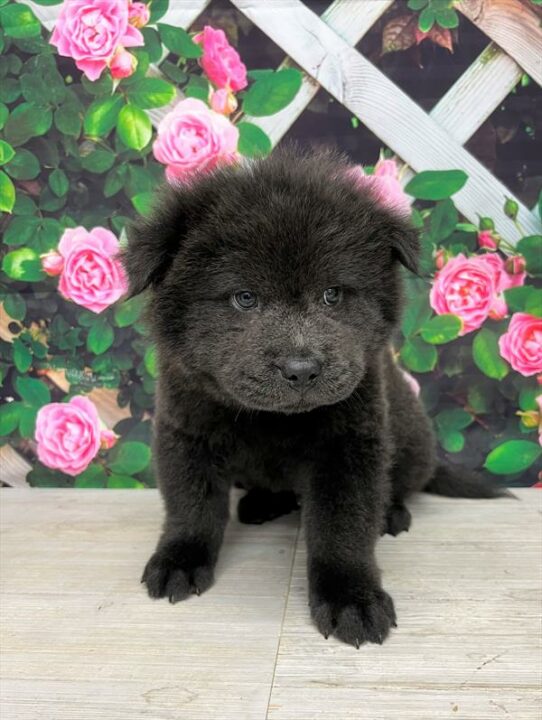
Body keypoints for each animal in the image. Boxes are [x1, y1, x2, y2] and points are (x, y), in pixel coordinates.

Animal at [125, 145, 508, 648]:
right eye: (244, 298)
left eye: (332, 295)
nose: (302, 368)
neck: (272, 420)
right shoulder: (187, 432)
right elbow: (191, 505)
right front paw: (180, 561)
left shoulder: (348, 445)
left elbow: (342, 527)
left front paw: (351, 599)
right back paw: (263, 504)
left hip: (410, 441)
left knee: (400, 485)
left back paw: (390, 514)